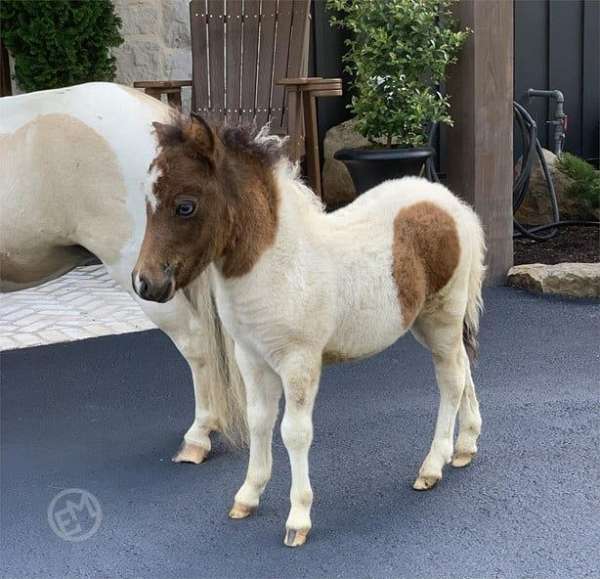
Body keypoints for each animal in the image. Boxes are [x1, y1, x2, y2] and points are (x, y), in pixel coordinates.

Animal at [134, 114, 486, 548]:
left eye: (186, 206)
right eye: (146, 203)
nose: (145, 283)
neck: (278, 264)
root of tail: (455, 206)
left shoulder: (298, 361)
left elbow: (295, 432)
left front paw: (298, 519)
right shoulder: (251, 357)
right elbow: (259, 421)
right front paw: (247, 496)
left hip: (442, 316)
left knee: (451, 381)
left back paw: (432, 466)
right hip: (429, 323)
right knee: (464, 368)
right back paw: (465, 446)